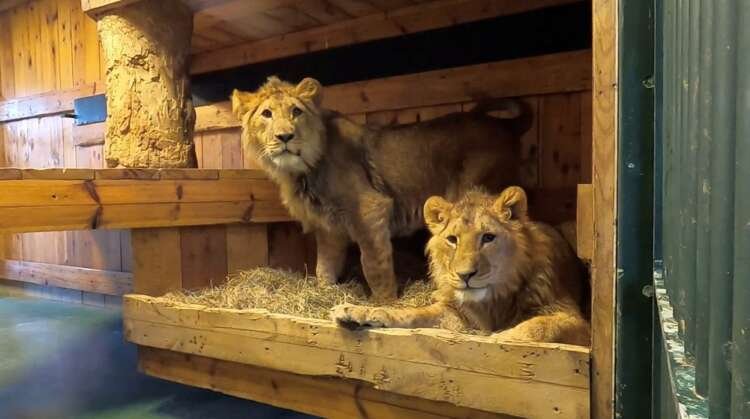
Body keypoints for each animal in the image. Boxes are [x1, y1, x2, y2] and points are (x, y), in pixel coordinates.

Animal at [231, 77, 526, 301]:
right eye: (266, 114)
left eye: (296, 112)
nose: (285, 137)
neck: (303, 169)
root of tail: (506, 124)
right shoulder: (328, 227)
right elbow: (324, 266)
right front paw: (324, 295)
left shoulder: (370, 209)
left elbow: (374, 264)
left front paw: (384, 304)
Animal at [330, 186, 590, 345]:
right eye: (452, 240)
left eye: (488, 237)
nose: (465, 275)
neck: (493, 300)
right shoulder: (455, 313)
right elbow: (413, 313)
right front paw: (358, 312)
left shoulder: (576, 321)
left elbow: (540, 326)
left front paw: (498, 338)